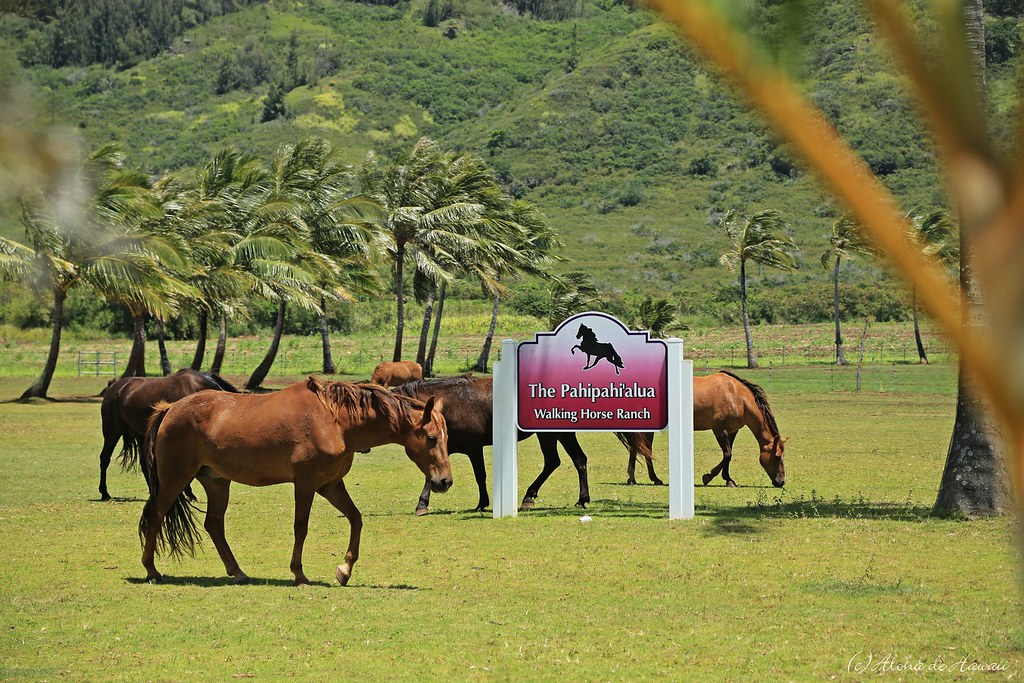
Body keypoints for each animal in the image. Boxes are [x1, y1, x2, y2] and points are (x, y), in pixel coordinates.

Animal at [97, 368, 239, 501]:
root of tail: (113, 386)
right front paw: (188, 493)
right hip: (112, 432)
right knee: (104, 458)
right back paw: (104, 493)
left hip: (140, 436)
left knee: (144, 463)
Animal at [138, 377, 452, 586]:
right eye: (431, 438)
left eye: (446, 437)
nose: (444, 482)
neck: (335, 421)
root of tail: (169, 409)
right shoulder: (306, 484)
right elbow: (301, 527)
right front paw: (299, 573)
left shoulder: (330, 485)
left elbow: (356, 518)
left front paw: (344, 570)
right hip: (175, 478)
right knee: (156, 515)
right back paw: (151, 570)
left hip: (217, 483)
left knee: (214, 524)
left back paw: (238, 573)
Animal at [393, 375, 644, 514]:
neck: (450, 403)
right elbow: (432, 475)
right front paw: (423, 504)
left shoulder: (473, 448)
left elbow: (479, 475)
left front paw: (482, 503)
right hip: (550, 435)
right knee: (561, 461)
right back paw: (537, 497)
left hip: (557, 434)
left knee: (570, 460)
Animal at [623, 371, 787, 489]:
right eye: (777, 456)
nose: (781, 482)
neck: (737, 397)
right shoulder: (719, 430)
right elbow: (727, 454)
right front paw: (708, 477)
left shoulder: (732, 431)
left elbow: (729, 455)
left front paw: (728, 480)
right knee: (640, 447)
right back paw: (638, 478)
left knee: (641, 448)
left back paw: (644, 478)